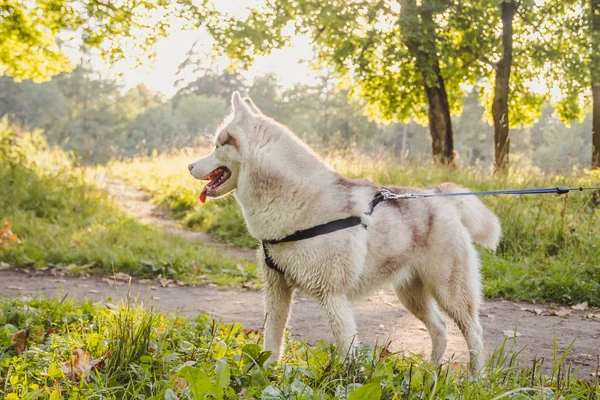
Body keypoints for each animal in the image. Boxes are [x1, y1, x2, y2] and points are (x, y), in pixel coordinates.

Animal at [188, 91, 502, 376]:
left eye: (216, 146)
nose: (188, 165)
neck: (292, 200)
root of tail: (439, 194)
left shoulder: (332, 296)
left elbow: (346, 348)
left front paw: (345, 379)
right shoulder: (276, 289)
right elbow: (272, 342)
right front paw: (265, 374)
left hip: (450, 292)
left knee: (474, 331)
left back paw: (475, 377)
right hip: (410, 294)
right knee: (439, 327)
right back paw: (430, 371)